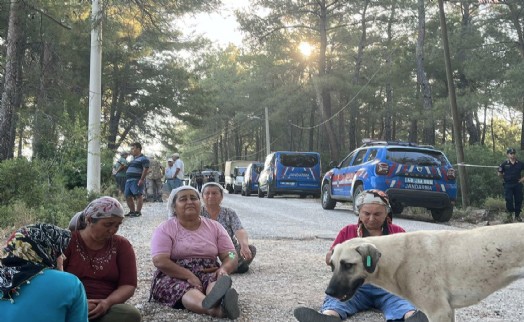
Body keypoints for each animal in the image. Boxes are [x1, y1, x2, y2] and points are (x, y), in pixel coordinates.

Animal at [328, 224, 524, 322]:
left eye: (348, 265)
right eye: (332, 265)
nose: (328, 292)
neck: (399, 257)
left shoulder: (439, 312)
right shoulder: (448, 311)